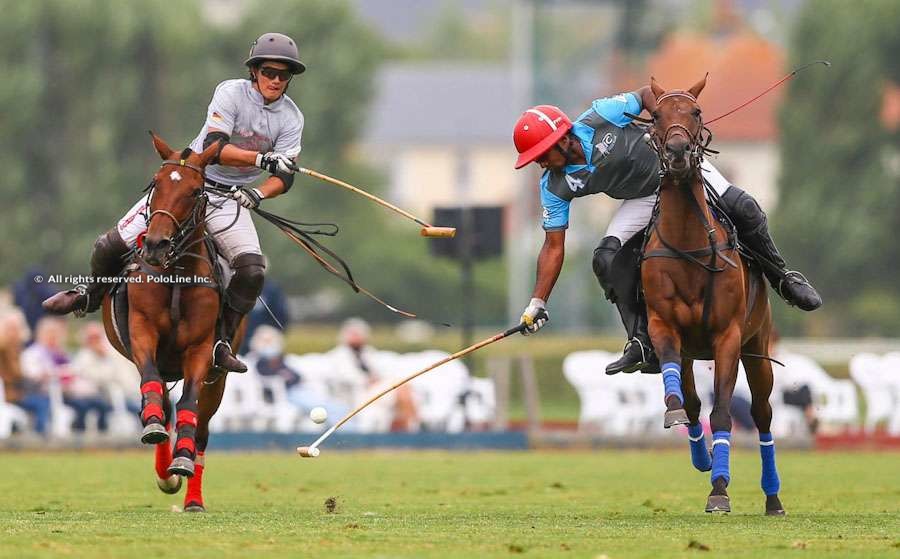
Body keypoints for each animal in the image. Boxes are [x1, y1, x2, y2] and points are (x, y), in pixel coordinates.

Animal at [101, 135, 236, 512]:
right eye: (156, 183)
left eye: (194, 191)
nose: (155, 245)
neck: (177, 271)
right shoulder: (142, 331)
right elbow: (152, 389)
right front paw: (154, 433)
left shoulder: (202, 348)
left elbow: (188, 404)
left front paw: (182, 459)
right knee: (160, 398)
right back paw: (163, 468)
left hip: (218, 378)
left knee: (202, 426)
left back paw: (191, 493)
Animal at [644, 75, 784, 516]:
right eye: (656, 115)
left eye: (696, 111)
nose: (677, 152)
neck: (689, 243)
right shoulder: (664, 325)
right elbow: (684, 401)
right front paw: (674, 413)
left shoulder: (728, 337)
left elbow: (723, 413)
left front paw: (719, 490)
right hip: (694, 352)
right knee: (692, 404)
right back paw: (700, 454)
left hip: (758, 346)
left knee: (762, 414)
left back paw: (773, 497)